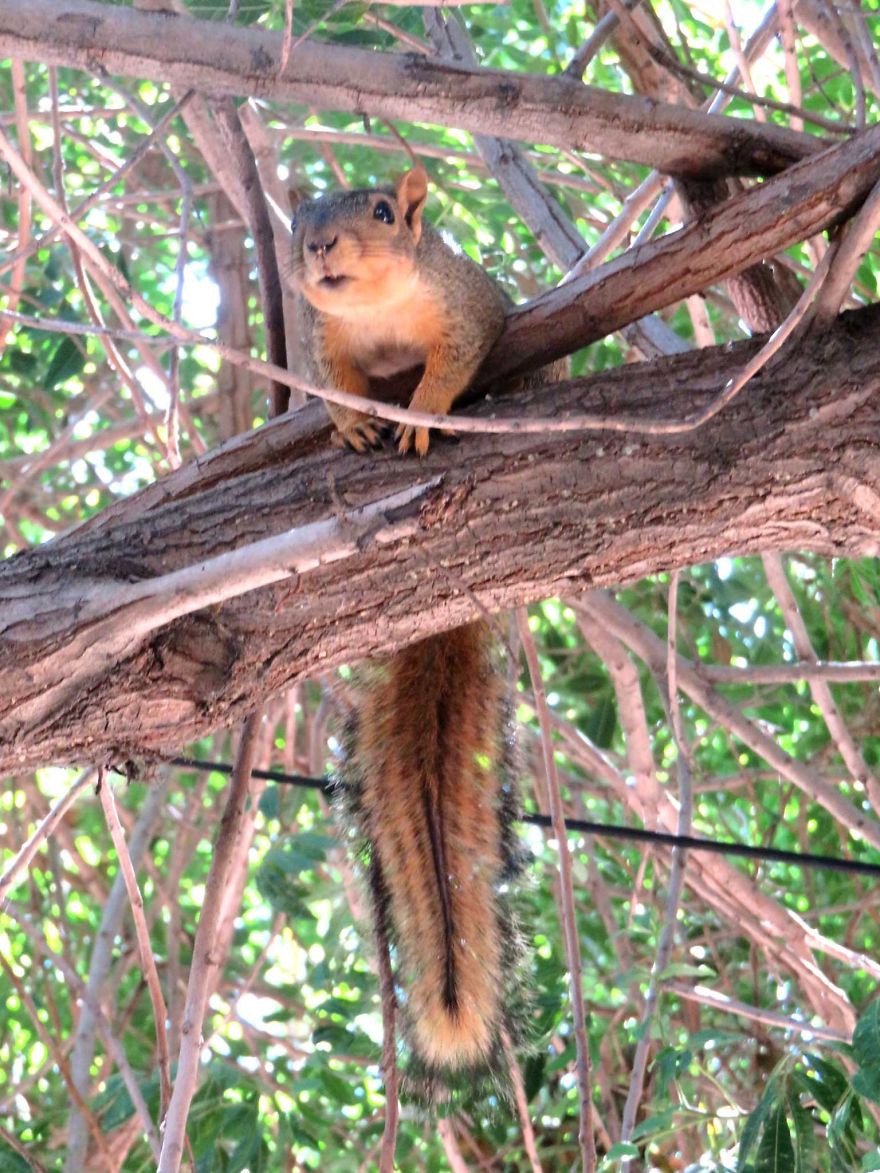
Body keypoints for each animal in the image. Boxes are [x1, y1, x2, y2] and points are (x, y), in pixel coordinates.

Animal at [284, 165, 525, 1089]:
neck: (377, 314)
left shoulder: (468, 303)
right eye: (297, 222)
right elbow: (330, 384)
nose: (319, 245)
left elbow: (456, 358)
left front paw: (422, 410)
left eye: (385, 212)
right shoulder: (323, 345)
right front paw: (352, 421)